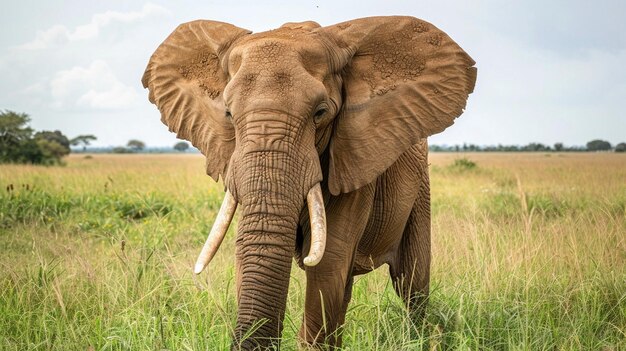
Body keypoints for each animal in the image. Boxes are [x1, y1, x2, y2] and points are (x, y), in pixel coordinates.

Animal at [141, 15, 472, 350]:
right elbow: (249, 252)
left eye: (320, 113)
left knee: (412, 282)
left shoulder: (353, 163)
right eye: (229, 114)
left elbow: (328, 265)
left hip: (421, 190)